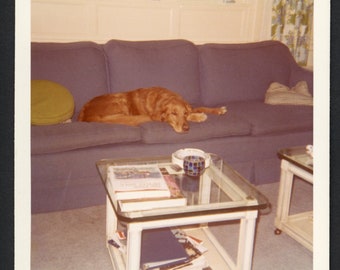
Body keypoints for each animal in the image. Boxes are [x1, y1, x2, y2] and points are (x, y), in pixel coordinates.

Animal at [77, 86, 226, 133]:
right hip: (120, 100)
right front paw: (199, 116)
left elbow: (199, 107)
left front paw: (218, 109)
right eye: (173, 113)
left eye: (184, 113)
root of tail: (84, 114)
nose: (186, 128)